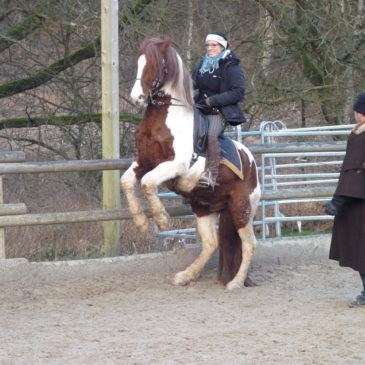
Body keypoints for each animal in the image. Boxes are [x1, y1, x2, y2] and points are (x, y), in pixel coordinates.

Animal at [121, 37, 260, 290]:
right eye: (138, 61)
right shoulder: (144, 161)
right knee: (211, 243)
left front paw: (162, 220)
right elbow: (127, 181)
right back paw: (186, 275)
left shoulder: (175, 165)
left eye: (154, 64)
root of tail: (251, 163)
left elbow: (147, 183)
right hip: (204, 207)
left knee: (249, 245)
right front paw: (142, 223)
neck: (165, 120)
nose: (137, 97)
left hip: (241, 208)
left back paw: (235, 282)